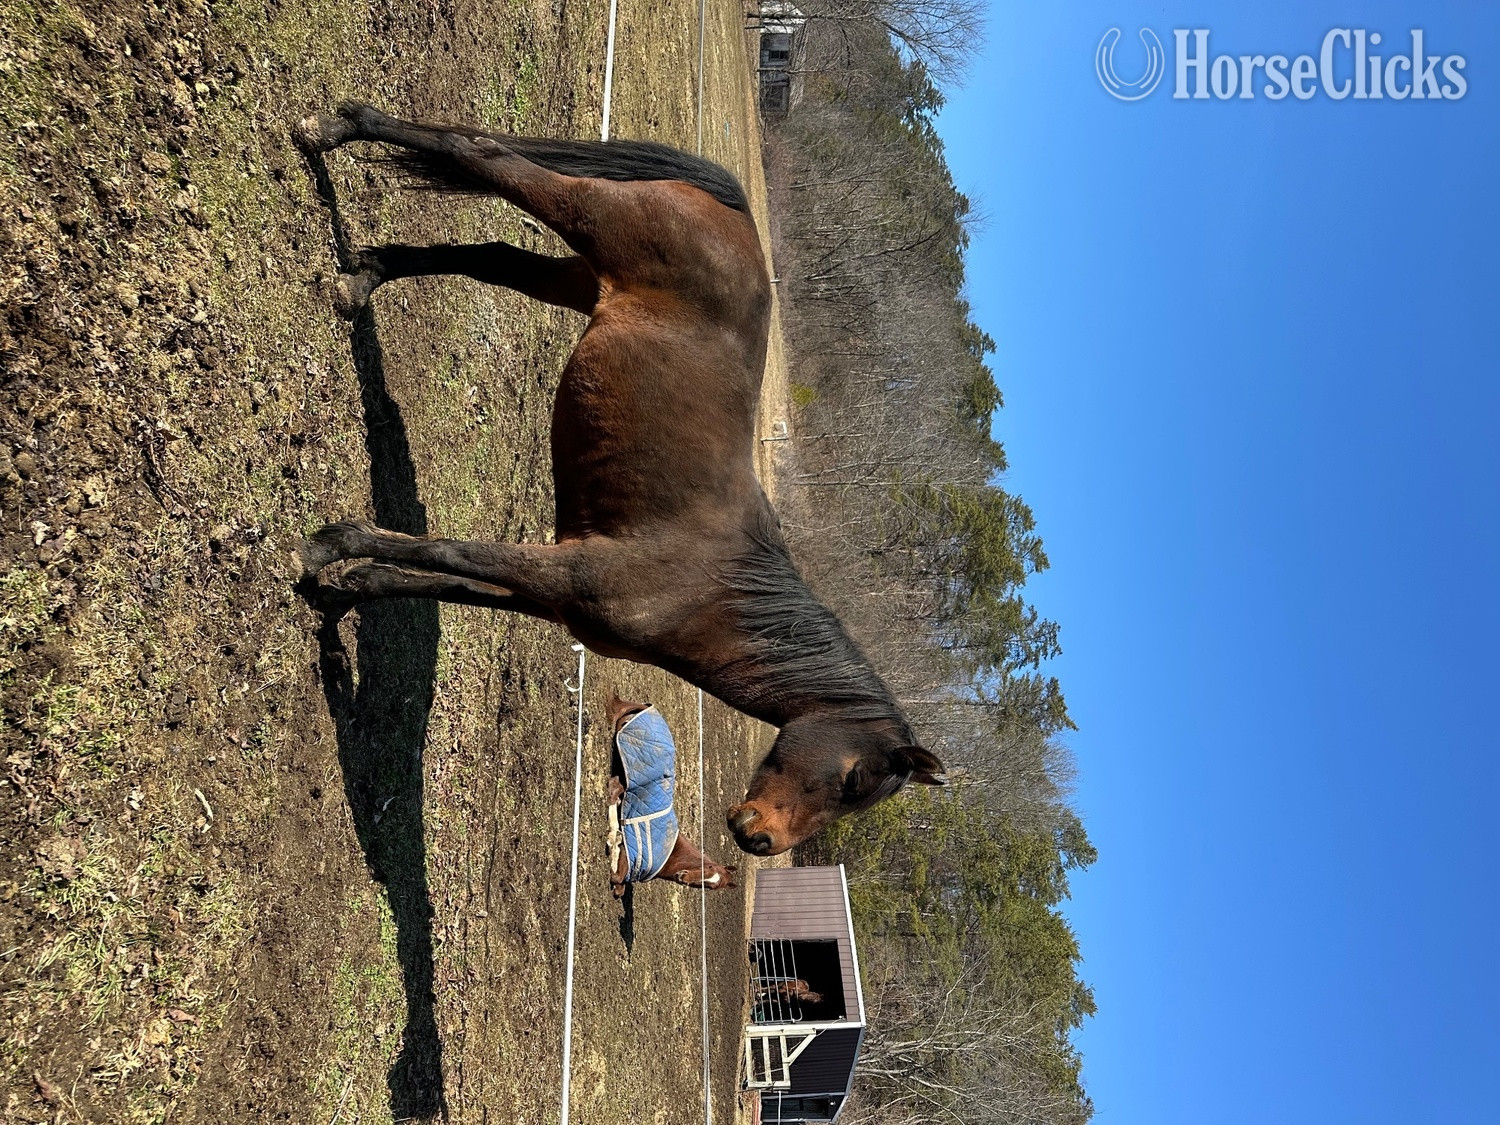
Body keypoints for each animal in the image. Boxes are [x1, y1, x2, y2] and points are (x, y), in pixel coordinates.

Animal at [292, 102, 945, 856]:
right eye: (851, 778)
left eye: (854, 798)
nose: (759, 840)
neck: (706, 592)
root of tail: (736, 212)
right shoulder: (564, 571)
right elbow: (446, 552)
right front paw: (322, 548)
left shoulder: (548, 597)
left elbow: (434, 581)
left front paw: (342, 593)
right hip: (584, 214)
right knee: (478, 152)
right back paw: (330, 132)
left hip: (578, 278)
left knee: (490, 254)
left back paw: (358, 277)